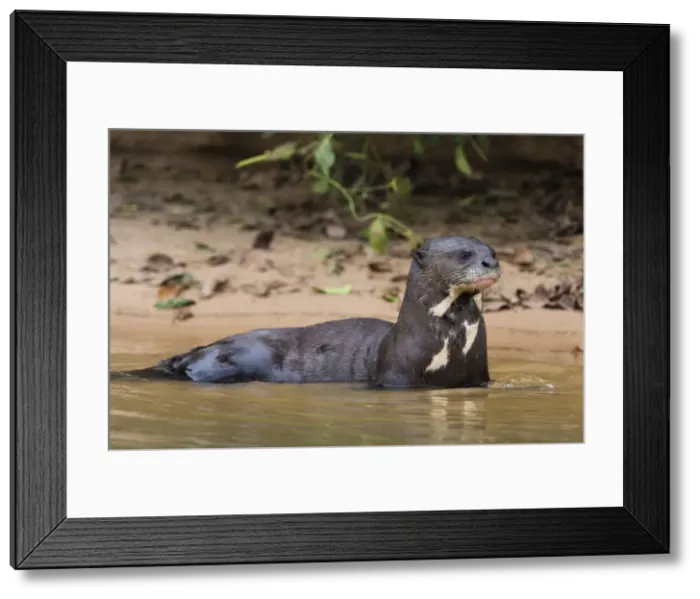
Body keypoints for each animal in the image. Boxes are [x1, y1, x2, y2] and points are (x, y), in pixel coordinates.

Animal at [113, 235, 502, 389]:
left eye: (492, 251)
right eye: (464, 254)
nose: (491, 263)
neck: (450, 346)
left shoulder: (480, 376)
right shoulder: (395, 376)